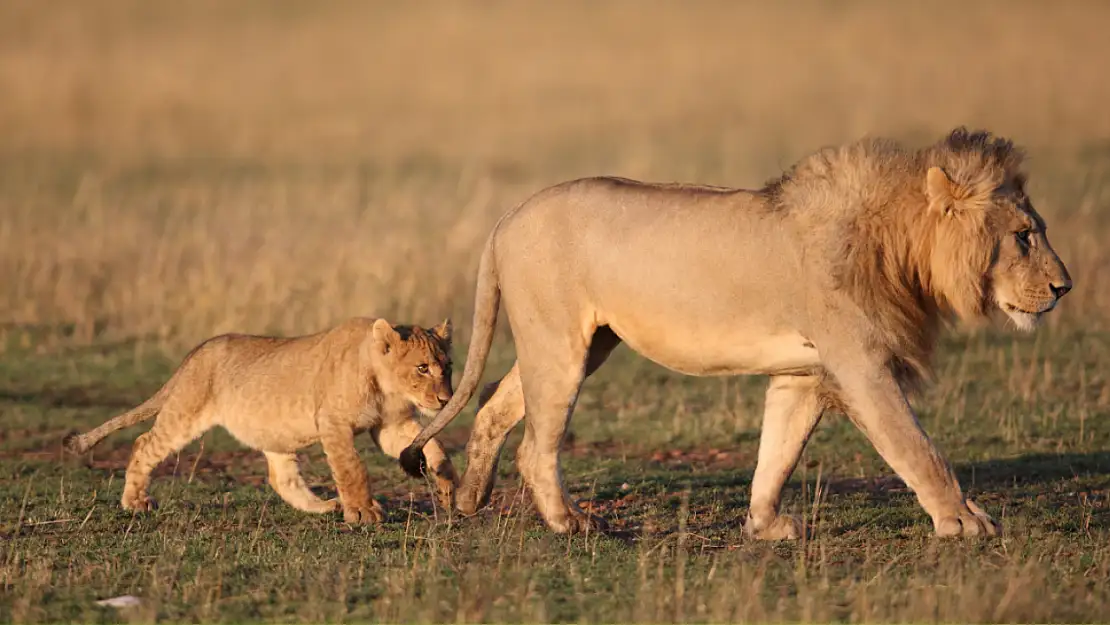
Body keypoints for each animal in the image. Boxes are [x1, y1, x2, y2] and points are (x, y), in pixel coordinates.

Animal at [399, 128, 1065, 537]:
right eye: (1024, 237)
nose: (1065, 287)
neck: (901, 249)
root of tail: (507, 217)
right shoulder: (862, 364)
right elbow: (918, 448)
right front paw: (966, 522)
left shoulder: (804, 373)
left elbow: (777, 453)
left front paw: (767, 526)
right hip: (559, 346)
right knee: (536, 445)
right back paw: (571, 522)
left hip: (582, 345)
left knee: (493, 405)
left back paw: (469, 501)